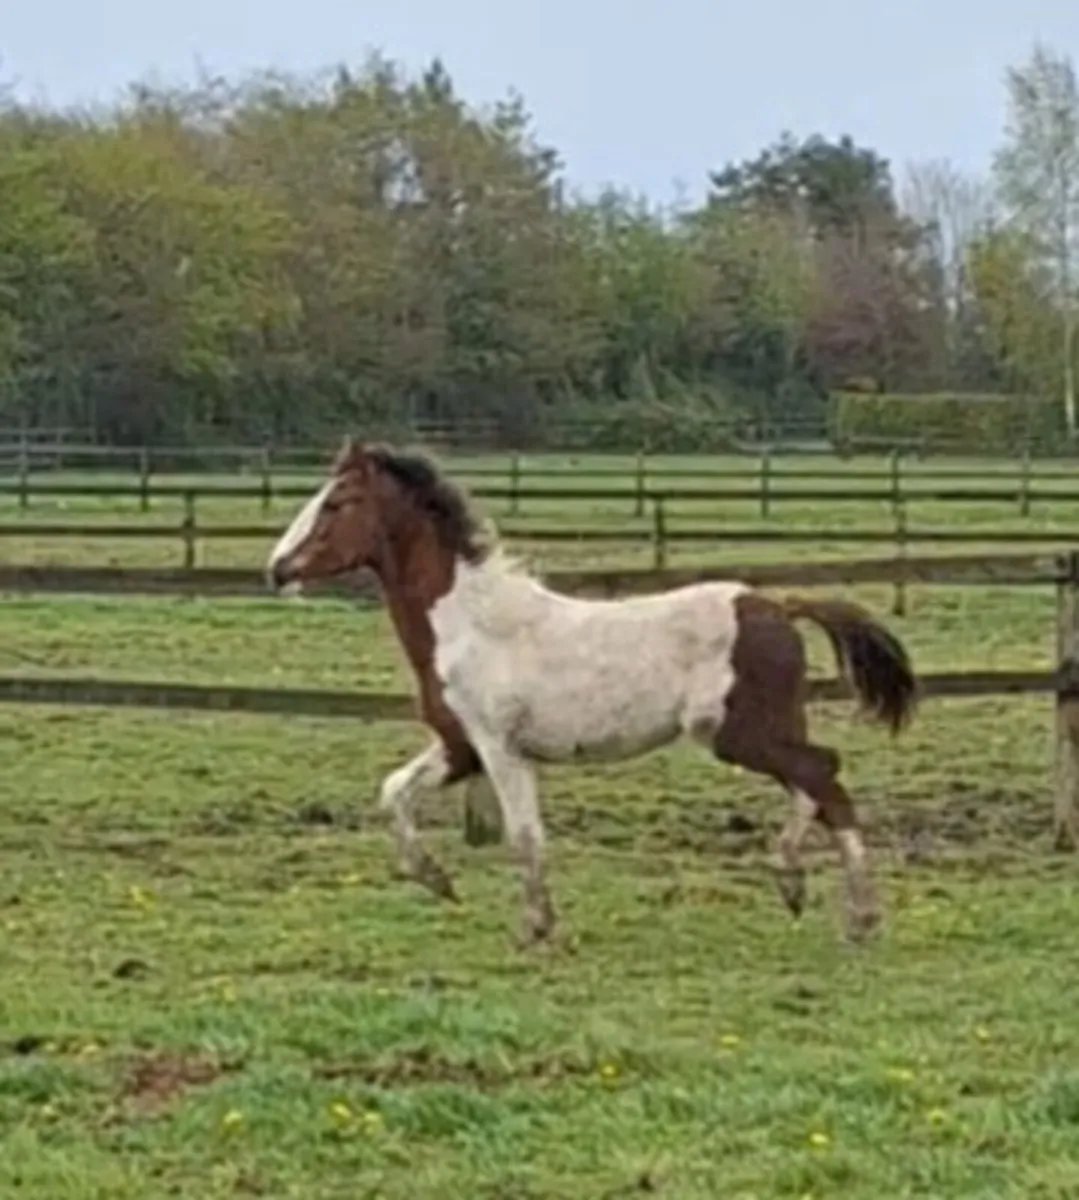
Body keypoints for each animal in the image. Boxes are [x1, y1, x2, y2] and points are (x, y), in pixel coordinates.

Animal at [267, 437, 917, 946]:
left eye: (337, 503)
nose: (277, 569)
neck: (471, 623)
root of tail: (777, 605)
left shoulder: (499, 747)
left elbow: (525, 833)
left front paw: (536, 927)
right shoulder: (461, 745)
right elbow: (394, 791)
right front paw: (436, 880)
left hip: (739, 734)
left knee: (824, 777)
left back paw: (860, 917)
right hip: (768, 731)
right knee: (815, 780)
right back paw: (793, 883)